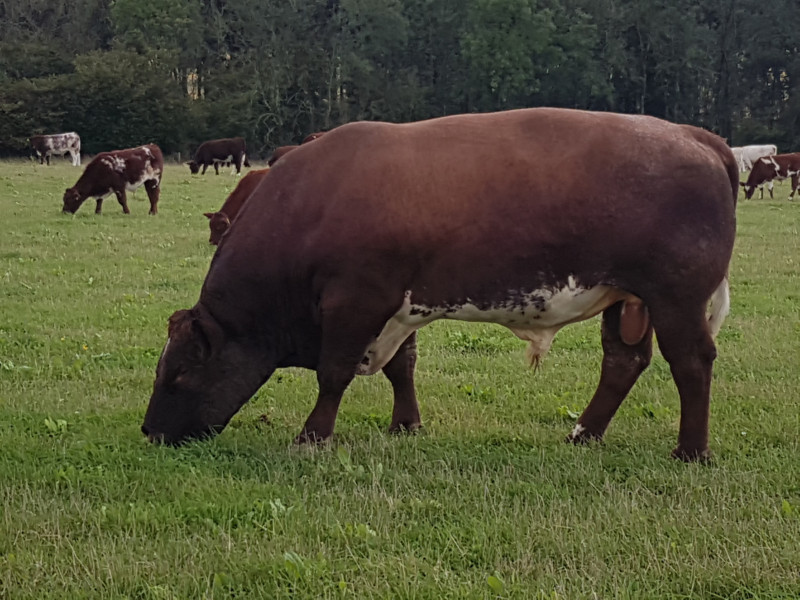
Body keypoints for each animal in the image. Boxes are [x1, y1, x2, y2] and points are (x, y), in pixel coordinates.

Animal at [142, 108, 738, 463]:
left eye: (179, 372)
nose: (150, 432)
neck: (314, 202)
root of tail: (695, 135)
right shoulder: (399, 302)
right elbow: (402, 366)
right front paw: (406, 423)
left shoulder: (355, 300)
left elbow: (333, 375)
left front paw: (312, 436)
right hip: (628, 298)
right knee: (623, 361)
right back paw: (584, 433)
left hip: (675, 298)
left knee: (691, 363)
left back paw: (691, 450)